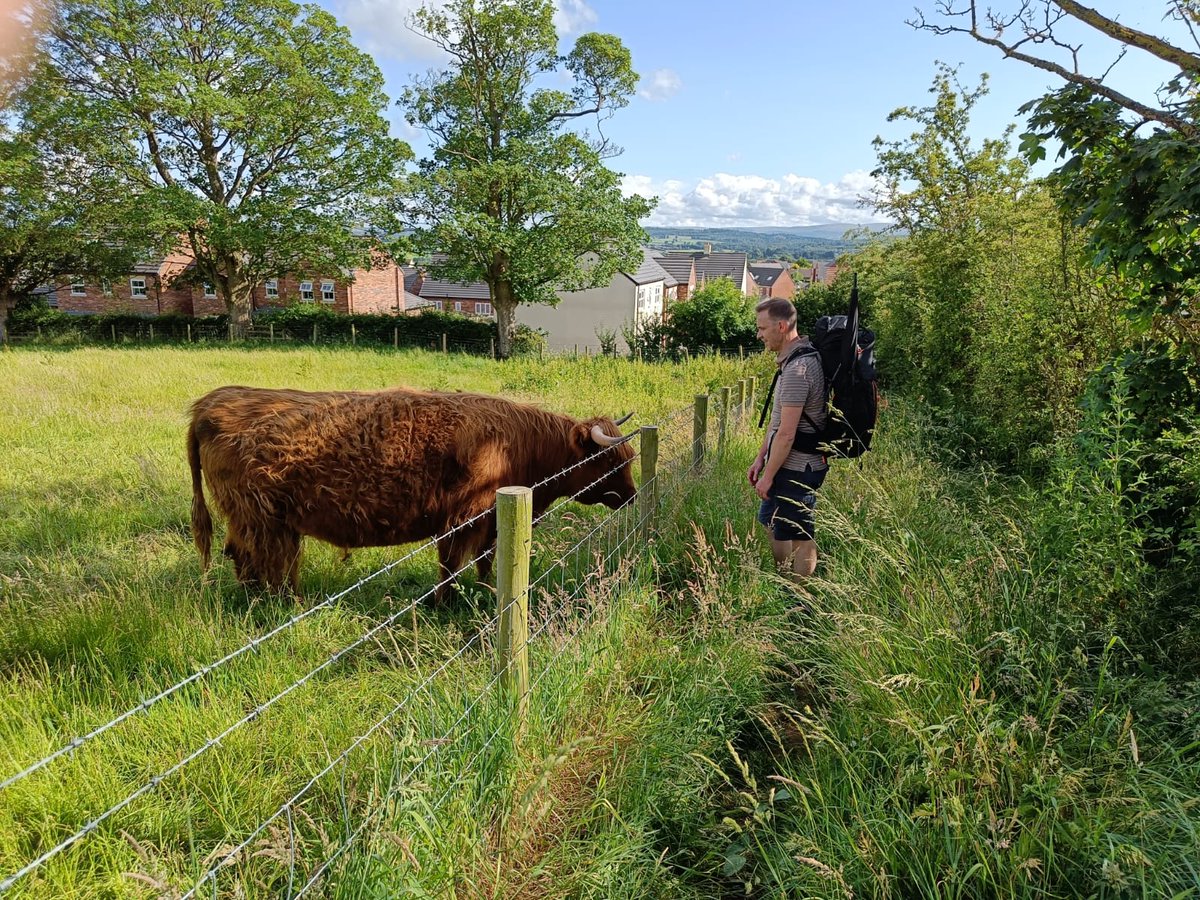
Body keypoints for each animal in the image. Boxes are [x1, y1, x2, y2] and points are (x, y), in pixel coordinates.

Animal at [187, 386, 638, 600]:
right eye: (611, 461)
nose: (633, 495)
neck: (518, 448)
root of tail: (210, 403)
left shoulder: (491, 521)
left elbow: (486, 562)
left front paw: (487, 592)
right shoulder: (462, 518)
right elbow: (450, 566)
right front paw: (443, 602)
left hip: (265, 521)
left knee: (248, 557)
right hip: (260, 518)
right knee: (258, 559)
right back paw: (277, 604)